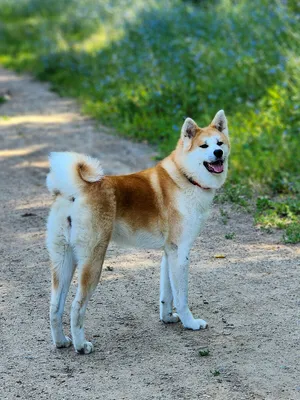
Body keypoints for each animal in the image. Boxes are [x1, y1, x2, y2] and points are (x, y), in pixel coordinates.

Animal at [46, 109, 230, 354]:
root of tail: (76, 190)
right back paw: (81, 345)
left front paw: (168, 318)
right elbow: (181, 296)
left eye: (219, 143)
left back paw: (61, 341)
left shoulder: (169, 253)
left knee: (55, 307)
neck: (185, 178)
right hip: (92, 261)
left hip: (63, 261)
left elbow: (167, 293)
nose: (218, 153)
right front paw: (190, 323)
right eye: (204, 146)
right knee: (77, 307)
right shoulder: (180, 252)